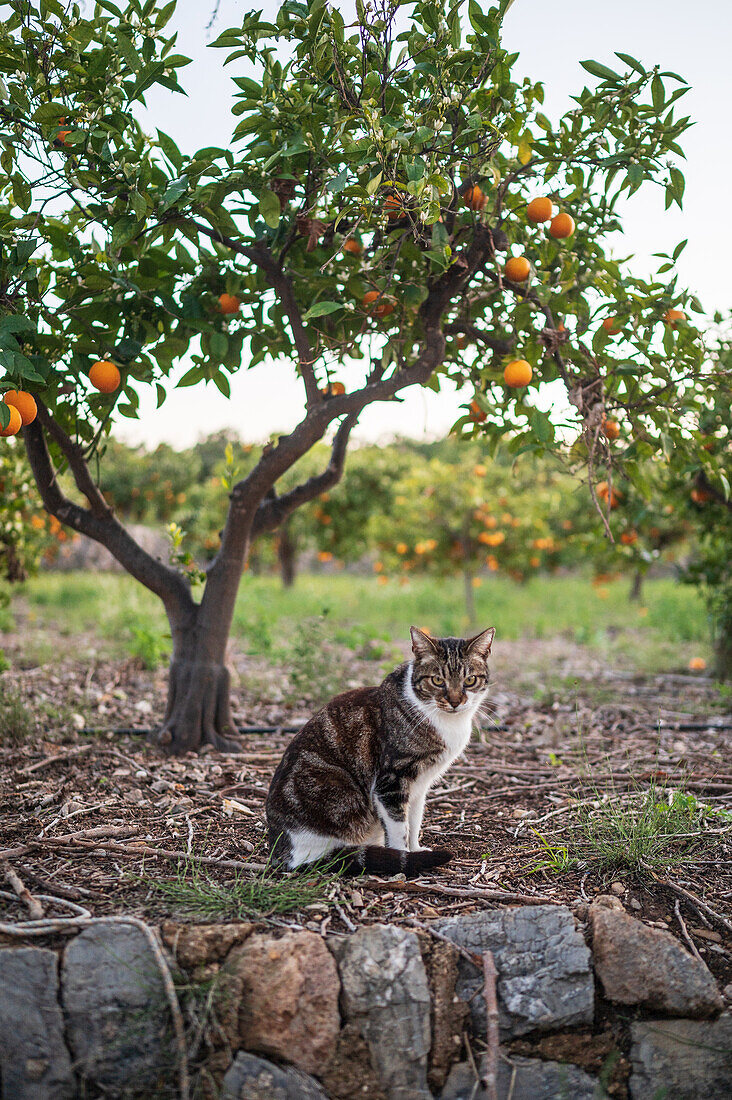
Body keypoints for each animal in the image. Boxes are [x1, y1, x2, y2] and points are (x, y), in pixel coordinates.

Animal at [265, 629, 493, 875]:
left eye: (470, 680)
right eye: (437, 680)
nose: (455, 701)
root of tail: (283, 855)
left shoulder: (420, 785)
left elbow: (414, 820)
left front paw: (415, 849)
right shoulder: (391, 781)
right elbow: (399, 828)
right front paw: (405, 859)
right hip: (337, 790)